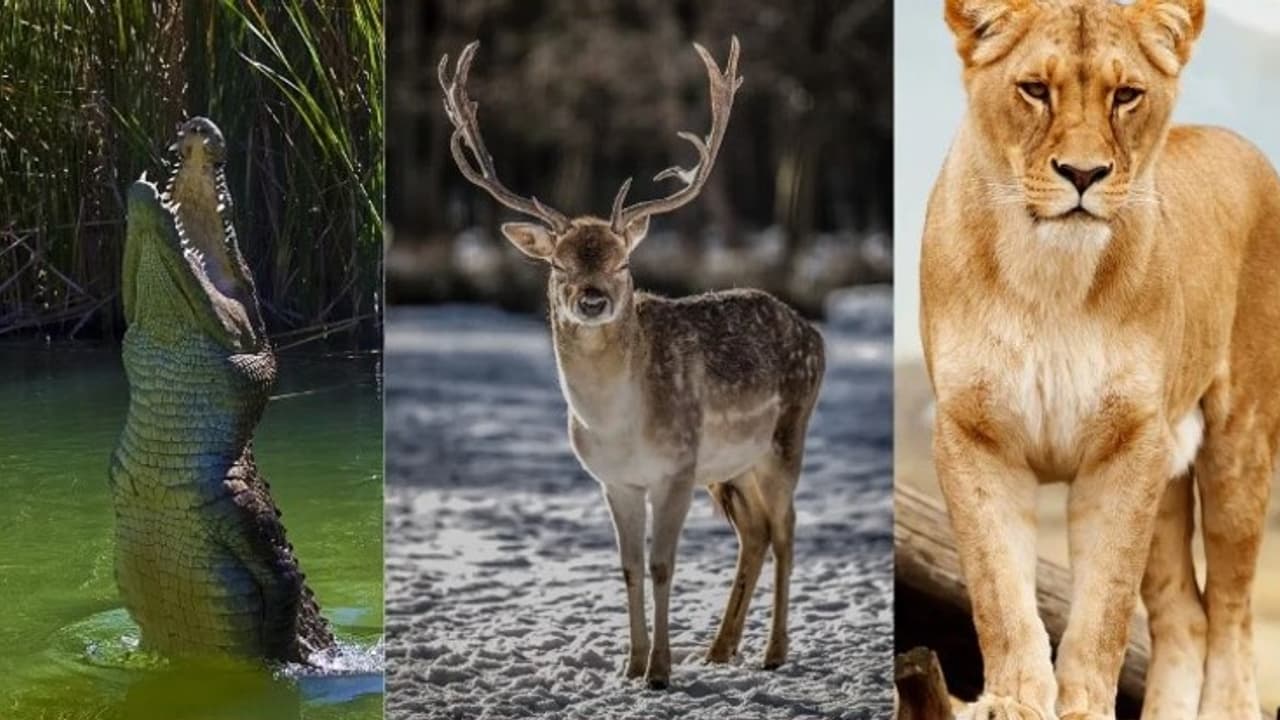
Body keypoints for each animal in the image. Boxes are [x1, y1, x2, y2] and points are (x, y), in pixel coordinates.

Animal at [438, 37, 826, 690]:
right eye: (559, 265)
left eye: (622, 263)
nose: (592, 298)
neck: (617, 425)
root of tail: (815, 333)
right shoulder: (614, 480)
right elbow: (627, 566)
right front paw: (631, 664)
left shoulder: (675, 468)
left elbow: (663, 564)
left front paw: (660, 672)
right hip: (731, 467)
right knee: (755, 533)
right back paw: (719, 649)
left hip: (784, 438)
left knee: (788, 531)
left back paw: (773, 652)